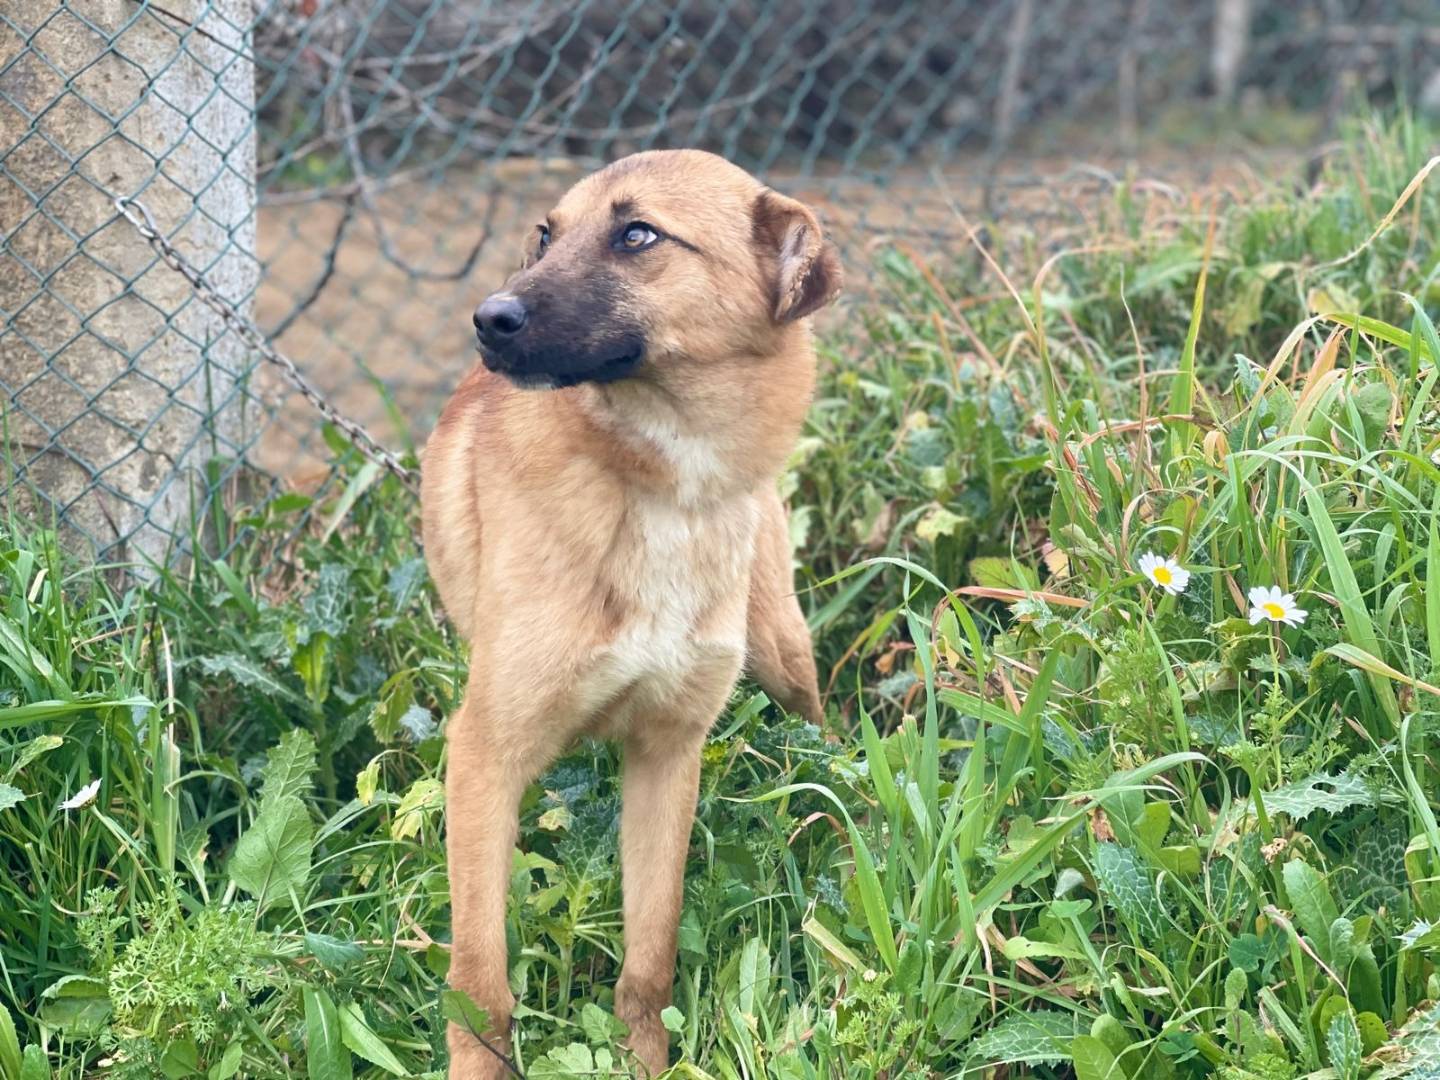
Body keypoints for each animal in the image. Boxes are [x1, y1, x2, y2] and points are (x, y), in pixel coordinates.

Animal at [420, 148, 840, 1077]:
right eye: (546, 235)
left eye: (638, 235)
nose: (488, 318)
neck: (664, 487)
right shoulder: (484, 755)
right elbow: (480, 979)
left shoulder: (666, 754)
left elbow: (650, 955)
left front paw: (644, 1058)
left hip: (783, 655)